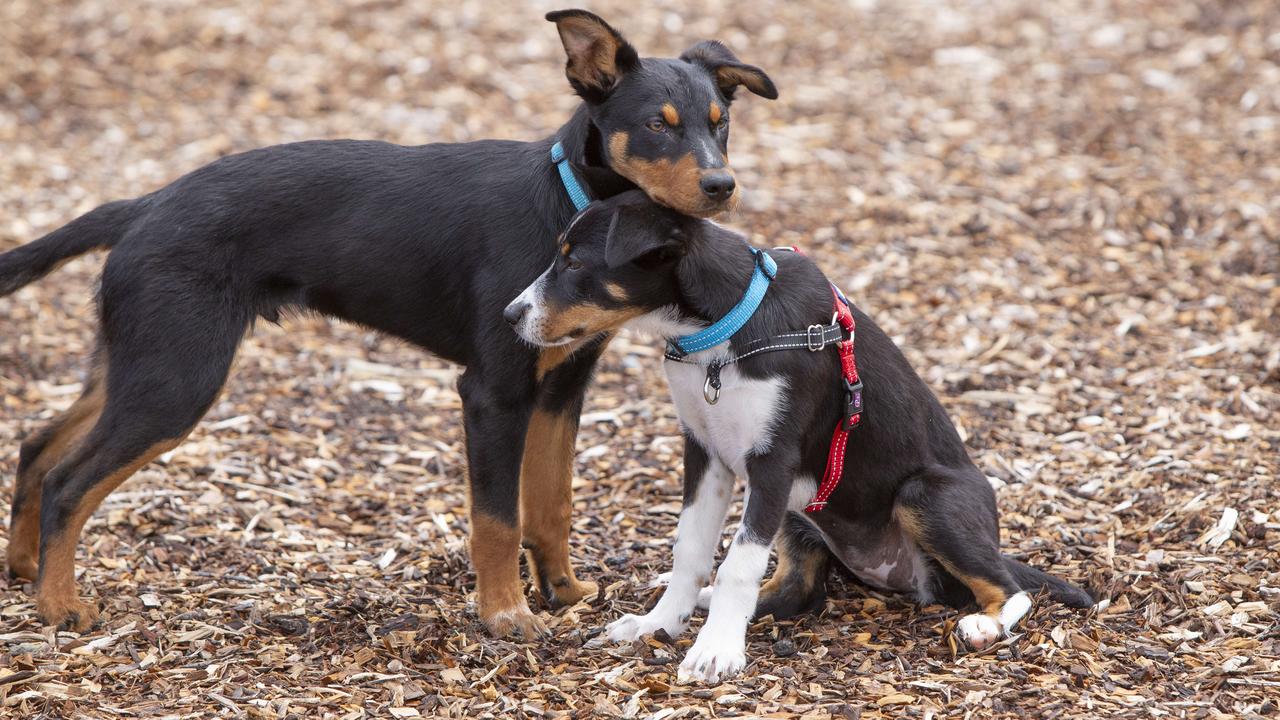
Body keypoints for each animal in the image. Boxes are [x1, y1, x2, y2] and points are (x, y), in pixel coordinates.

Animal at [0, 12, 778, 632]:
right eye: (655, 126)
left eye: (722, 124)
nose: (723, 186)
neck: (566, 203)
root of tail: (143, 205)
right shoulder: (492, 392)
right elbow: (498, 518)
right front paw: (506, 616)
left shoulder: (562, 386)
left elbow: (550, 501)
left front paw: (562, 592)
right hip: (175, 378)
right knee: (69, 480)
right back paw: (60, 607)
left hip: (135, 361)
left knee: (38, 449)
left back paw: (25, 570)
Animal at [499, 189, 1090, 676]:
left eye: (575, 262)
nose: (509, 315)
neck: (721, 330)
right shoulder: (705, 452)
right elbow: (691, 548)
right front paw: (660, 624)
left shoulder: (772, 461)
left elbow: (738, 563)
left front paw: (715, 652)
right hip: (801, 507)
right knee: (796, 591)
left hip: (922, 494)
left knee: (1011, 589)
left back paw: (986, 624)